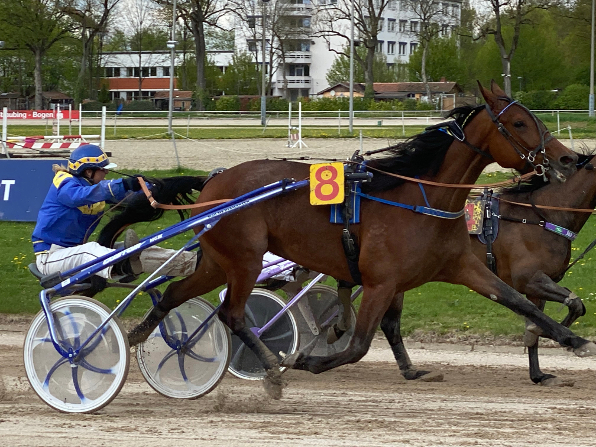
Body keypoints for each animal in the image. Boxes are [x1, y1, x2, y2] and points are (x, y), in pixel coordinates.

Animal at [128, 81, 592, 400]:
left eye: (536, 118)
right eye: (519, 123)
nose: (567, 159)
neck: (421, 199)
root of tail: (214, 181)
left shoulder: (464, 266)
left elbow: (519, 303)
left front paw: (574, 341)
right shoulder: (380, 282)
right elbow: (358, 344)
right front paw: (306, 358)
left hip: (216, 260)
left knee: (175, 293)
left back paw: (141, 337)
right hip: (245, 260)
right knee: (234, 314)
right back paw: (273, 369)